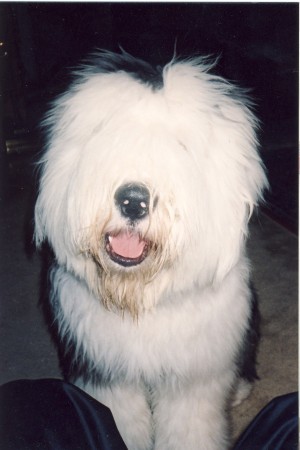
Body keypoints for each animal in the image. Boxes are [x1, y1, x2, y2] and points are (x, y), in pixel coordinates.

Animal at [34, 51, 268, 450]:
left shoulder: (192, 377)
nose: (133, 201)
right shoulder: (107, 372)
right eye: (110, 137)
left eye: (181, 147)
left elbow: (189, 428)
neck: (141, 297)